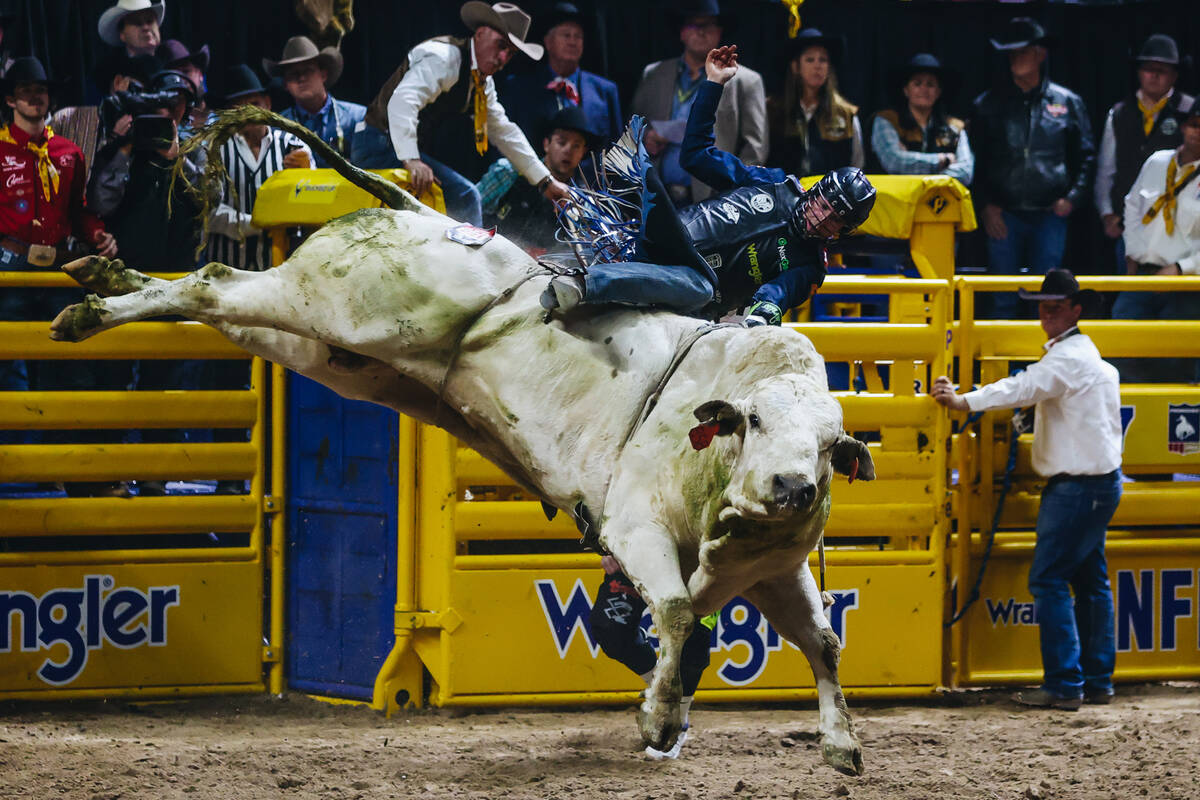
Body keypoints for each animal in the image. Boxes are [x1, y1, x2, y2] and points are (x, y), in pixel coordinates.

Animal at [49, 109, 873, 772]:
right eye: (754, 421)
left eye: (829, 446)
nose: (790, 488)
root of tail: (420, 210)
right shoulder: (634, 525)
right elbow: (674, 613)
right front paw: (659, 720)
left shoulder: (773, 573)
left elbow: (821, 642)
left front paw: (840, 746)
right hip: (328, 303)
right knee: (213, 278)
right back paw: (86, 311)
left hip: (327, 348)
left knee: (217, 304)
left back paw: (103, 277)